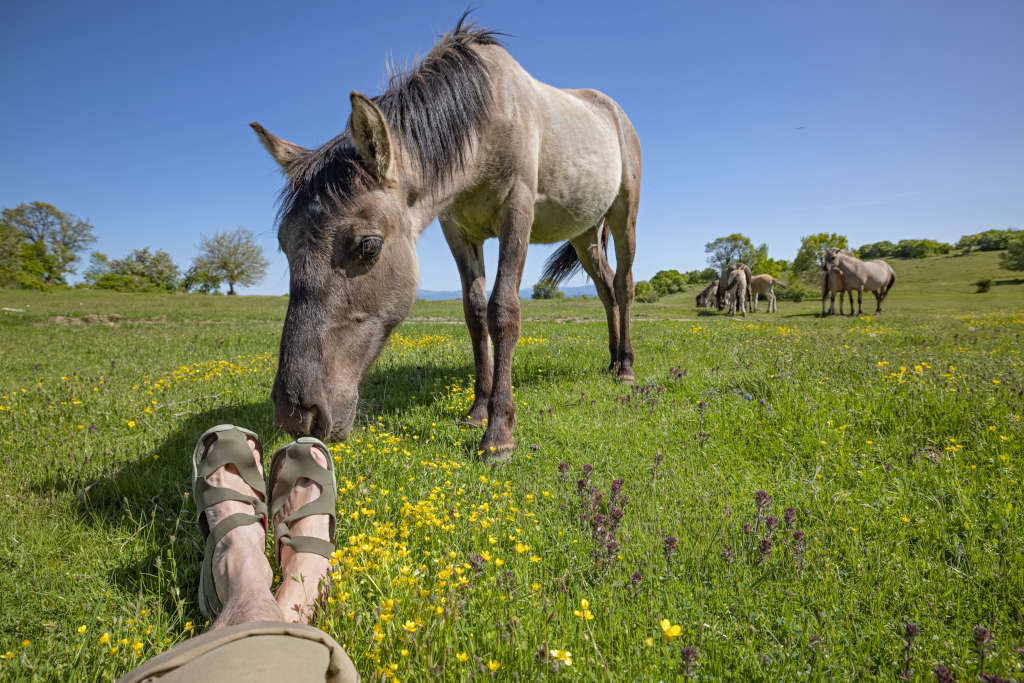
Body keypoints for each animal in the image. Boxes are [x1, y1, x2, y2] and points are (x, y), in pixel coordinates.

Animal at [248, 15, 638, 462]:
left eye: (368, 246)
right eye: (284, 244)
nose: (295, 413)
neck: (488, 118)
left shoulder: (517, 214)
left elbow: (503, 311)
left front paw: (498, 434)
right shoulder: (458, 231)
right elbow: (475, 314)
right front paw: (477, 411)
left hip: (624, 218)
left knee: (623, 286)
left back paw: (626, 368)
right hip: (584, 235)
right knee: (605, 290)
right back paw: (611, 362)